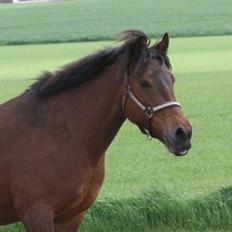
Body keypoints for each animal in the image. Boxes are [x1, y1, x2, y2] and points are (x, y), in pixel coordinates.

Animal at [0, 30, 192, 230]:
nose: (183, 133)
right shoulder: (37, 215)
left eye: (172, 80)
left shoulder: (71, 217)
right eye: (144, 83)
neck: (57, 134)